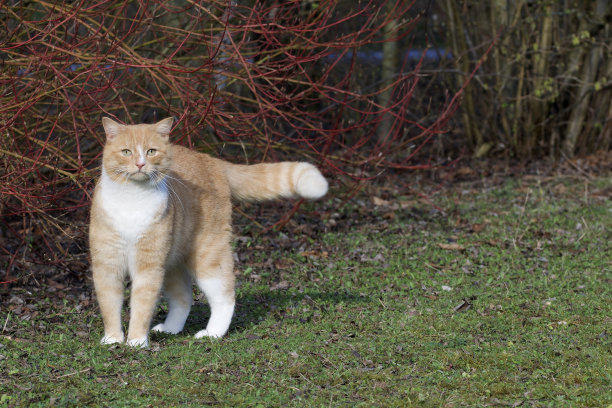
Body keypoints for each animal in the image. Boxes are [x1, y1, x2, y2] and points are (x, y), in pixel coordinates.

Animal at [89, 117, 328, 348]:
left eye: (151, 151)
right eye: (126, 152)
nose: (140, 164)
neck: (132, 199)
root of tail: (211, 160)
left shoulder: (148, 267)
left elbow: (141, 306)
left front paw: (136, 340)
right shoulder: (107, 265)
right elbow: (109, 304)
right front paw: (113, 338)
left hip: (208, 258)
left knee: (225, 296)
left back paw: (212, 333)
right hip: (172, 263)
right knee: (183, 298)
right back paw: (170, 329)